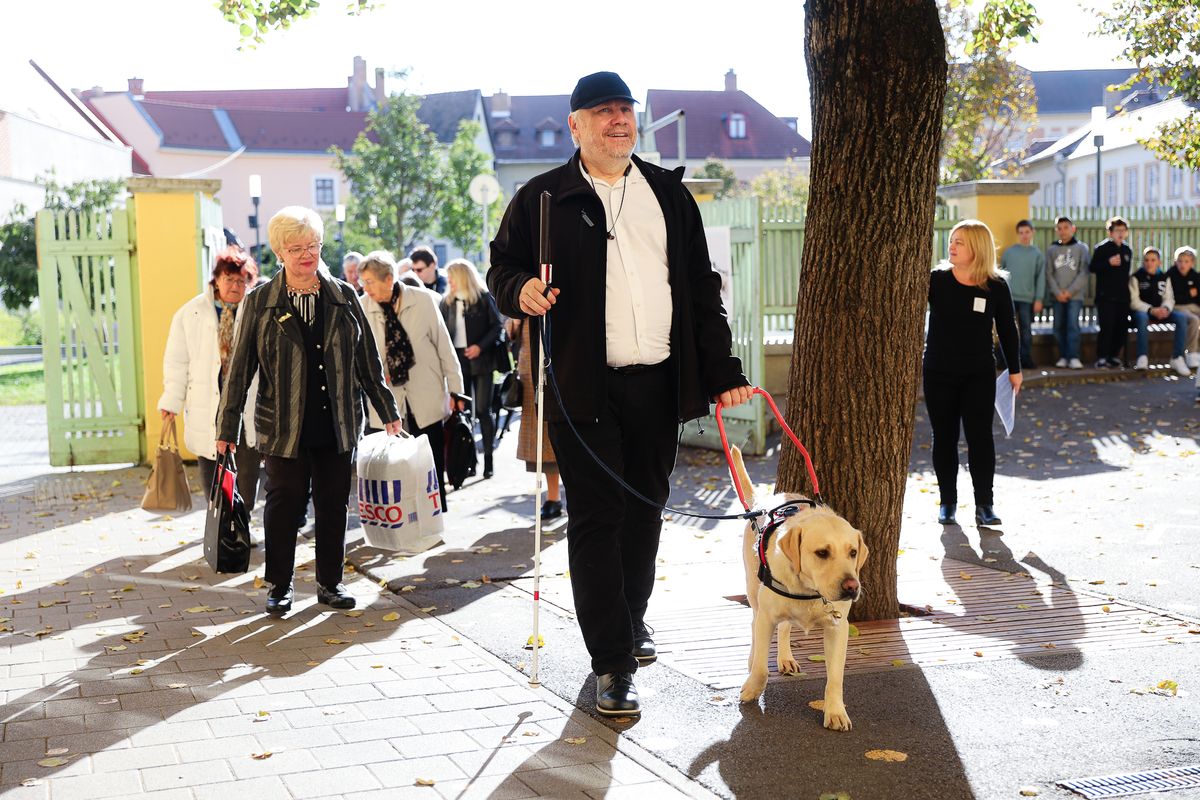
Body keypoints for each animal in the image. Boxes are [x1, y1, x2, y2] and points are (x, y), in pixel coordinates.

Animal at [729, 443, 873, 734]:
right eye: (822, 553)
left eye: (853, 552)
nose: (851, 586)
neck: (808, 590)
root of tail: (761, 503)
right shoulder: (766, 617)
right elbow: (761, 666)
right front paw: (752, 688)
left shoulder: (838, 628)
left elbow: (835, 678)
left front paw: (835, 711)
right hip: (753, 589)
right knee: (754, 624)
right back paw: (752, 658)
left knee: (785, 627)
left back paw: (785, 657)